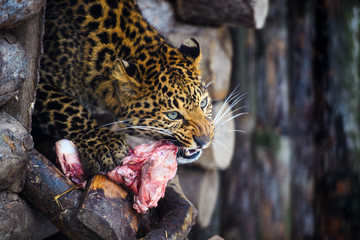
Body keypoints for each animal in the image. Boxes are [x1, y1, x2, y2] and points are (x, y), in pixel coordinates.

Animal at [32, 0, 214, 174]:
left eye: (203, 104)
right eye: (173, 115)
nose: (204, 141)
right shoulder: (42, 78)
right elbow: (68, 108)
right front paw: (105, 144)